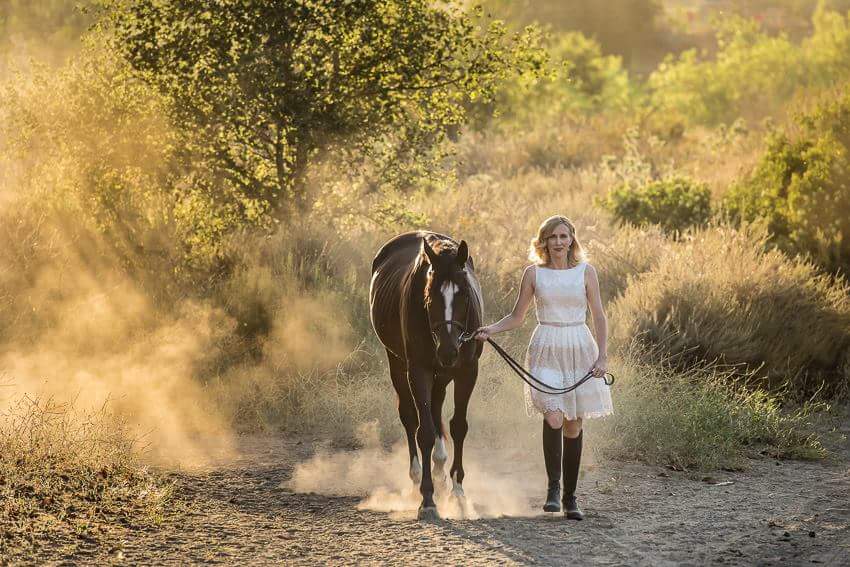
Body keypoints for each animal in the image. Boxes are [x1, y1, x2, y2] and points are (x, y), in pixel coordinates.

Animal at [366, 231, 480, 520]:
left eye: (464, 295)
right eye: (429, 296)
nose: (449, 350)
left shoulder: (467, 370)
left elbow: (458, 427)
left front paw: (458, 493)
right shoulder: (418, 370)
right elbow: (424, 431)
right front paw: (427, 499)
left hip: (443, 374)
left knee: (436, 407)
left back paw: (440, 470)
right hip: (398, 363)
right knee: (409, 416)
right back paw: (417, 479)